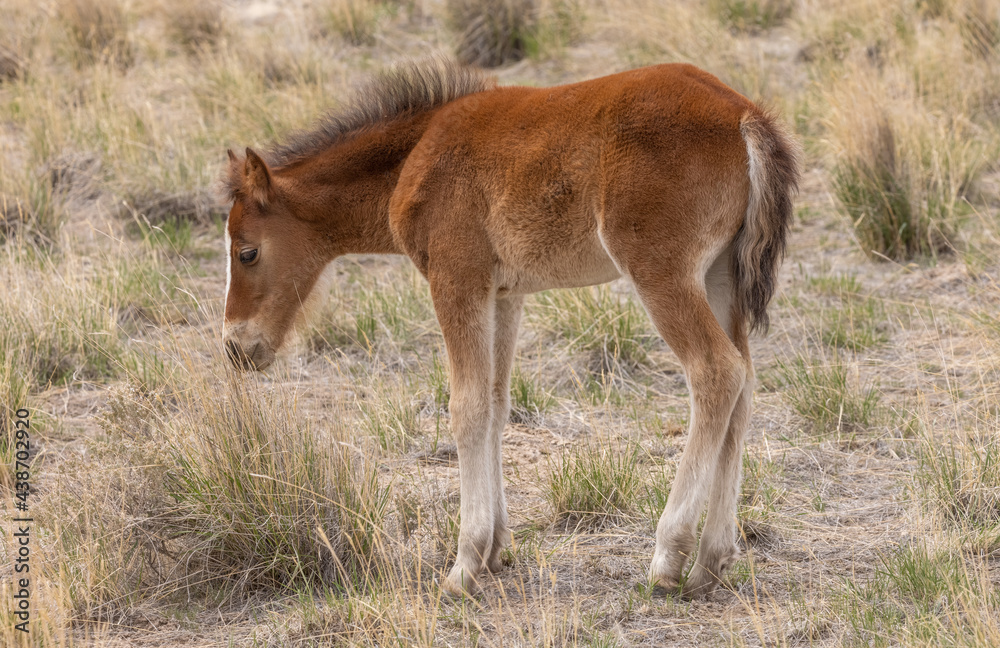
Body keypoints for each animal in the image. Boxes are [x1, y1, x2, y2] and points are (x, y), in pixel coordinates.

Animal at [221, 59, 799, 598]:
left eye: (247, 252)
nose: (235, 346)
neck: (415, 155)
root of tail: (744, 114)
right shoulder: (504, 294)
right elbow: (497, 404)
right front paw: (495, 551)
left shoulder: (457, 280)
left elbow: (467, 407)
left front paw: (463, 564)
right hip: (720, 274)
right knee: (745, 383)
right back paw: (712, 561)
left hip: (660, 270)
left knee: (716, 371)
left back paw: (668, 556)